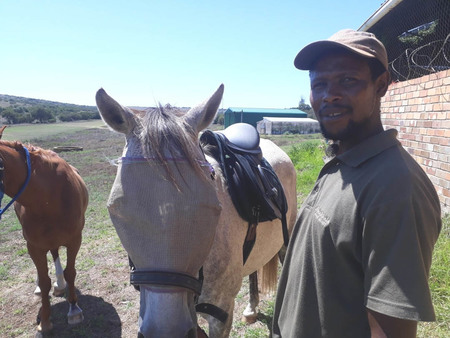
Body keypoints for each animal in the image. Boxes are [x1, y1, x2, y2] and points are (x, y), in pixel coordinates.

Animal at [0, 127, 88, 332]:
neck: (46, 197)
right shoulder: (34, 246)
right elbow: (44, 279)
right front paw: (46, 320)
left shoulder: (74, 239)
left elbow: (70, 272)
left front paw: (74, 309)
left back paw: (61, 284)